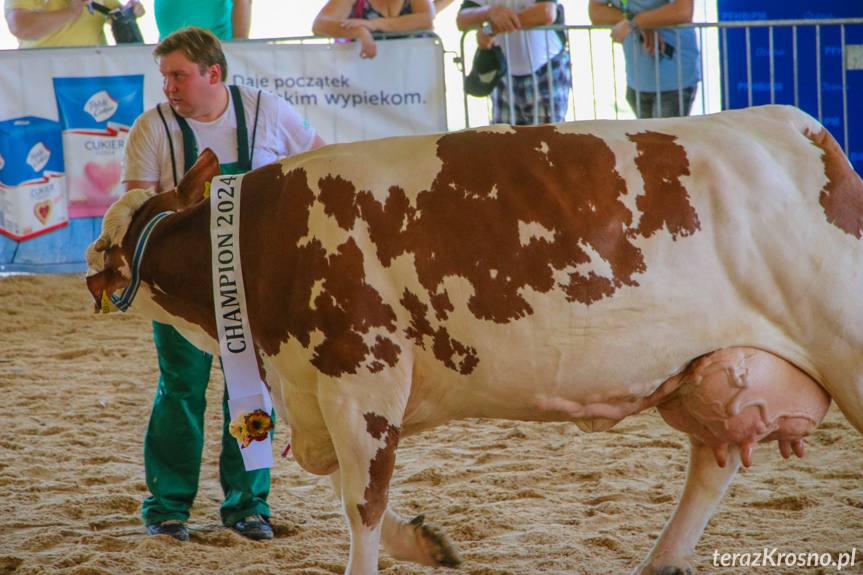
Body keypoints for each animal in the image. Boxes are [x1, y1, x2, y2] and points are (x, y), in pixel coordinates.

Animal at [86, 104, 863, 575]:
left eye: (115, 242)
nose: (92, 262)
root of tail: (802, 130)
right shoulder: (325, 391)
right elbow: (352, 486)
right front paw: (425, 542)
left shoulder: (362, 374)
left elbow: (360, 501)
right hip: (711, 369)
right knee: (712, 461)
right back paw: (661, 559)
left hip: (846, 347)